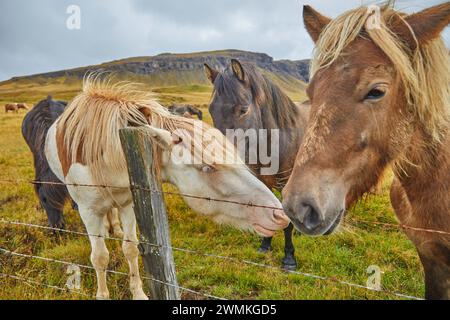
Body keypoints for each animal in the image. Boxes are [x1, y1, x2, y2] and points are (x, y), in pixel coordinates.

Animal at [206, 60, 312, 270]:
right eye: (210, 110)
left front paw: (289, 258)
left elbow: (286, 222)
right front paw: (265, 244)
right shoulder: (262, 180)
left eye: (243, 109)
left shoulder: (285, 183)